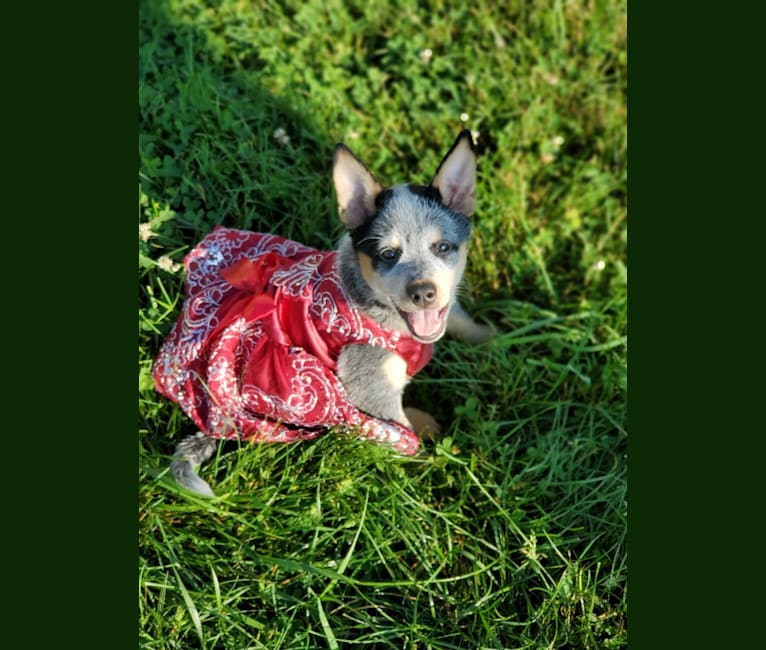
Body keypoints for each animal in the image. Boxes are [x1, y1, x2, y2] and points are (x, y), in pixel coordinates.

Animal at [154, 126, 492, 494]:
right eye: (388, 254)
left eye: (442, 247)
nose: (423, 293)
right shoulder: (371, 389)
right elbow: (403, 438)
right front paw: (435, 469)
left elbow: (460, 318)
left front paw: (496, 337)